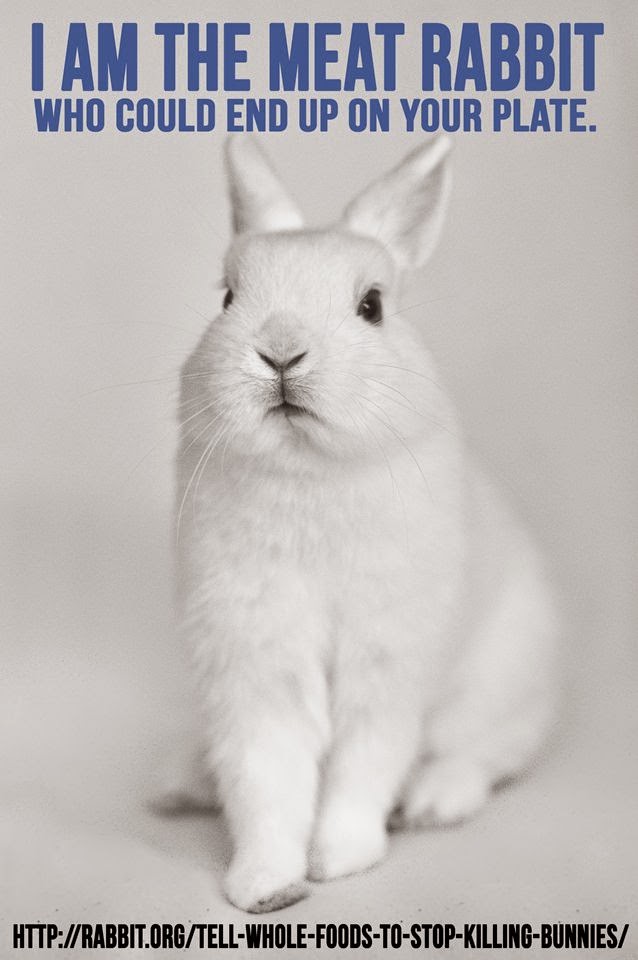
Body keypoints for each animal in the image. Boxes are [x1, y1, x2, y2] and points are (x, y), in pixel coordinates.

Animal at [167, 135, 557, 913]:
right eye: (228, 297)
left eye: (371, 306)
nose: (280, 350)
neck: (307, 470)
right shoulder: (254, 664)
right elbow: (266, 778)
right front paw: (266, 887)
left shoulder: (386, 664)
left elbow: (363, 765)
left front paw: (340, 858)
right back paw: (182, 789)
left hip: (503, 682)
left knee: (487, 753)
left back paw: (433, 801)